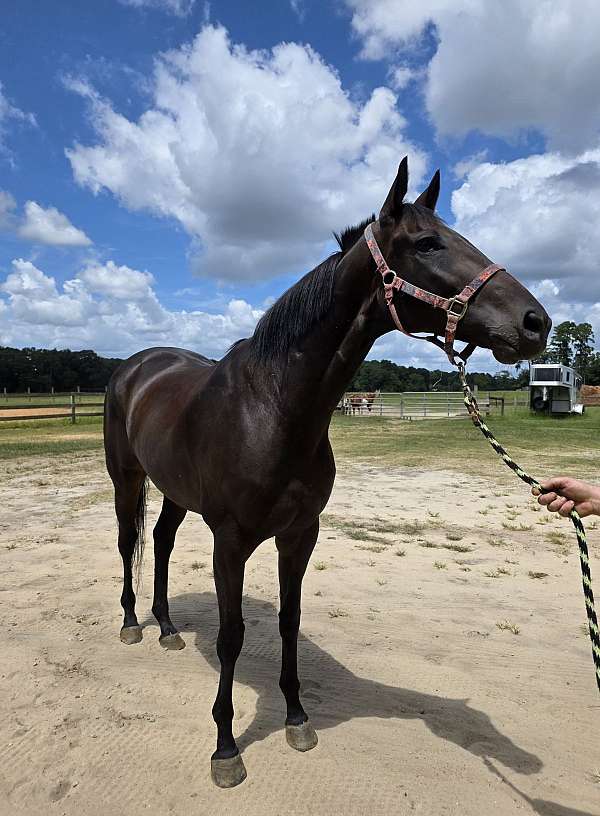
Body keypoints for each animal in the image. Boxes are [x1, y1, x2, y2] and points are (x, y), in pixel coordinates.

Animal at [104, 157, 550, 788]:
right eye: (428, 243)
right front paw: (225, 746)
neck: (272, 408)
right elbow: (232, 634)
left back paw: (166, 628)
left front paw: (296, 717)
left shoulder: (300, 534)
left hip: (175, 492)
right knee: (129, 543)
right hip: (127, 479)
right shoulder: (230, 541)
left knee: (162, 542)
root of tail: (136, 367)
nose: (536, 322)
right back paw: (132, 624)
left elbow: (290, 621)